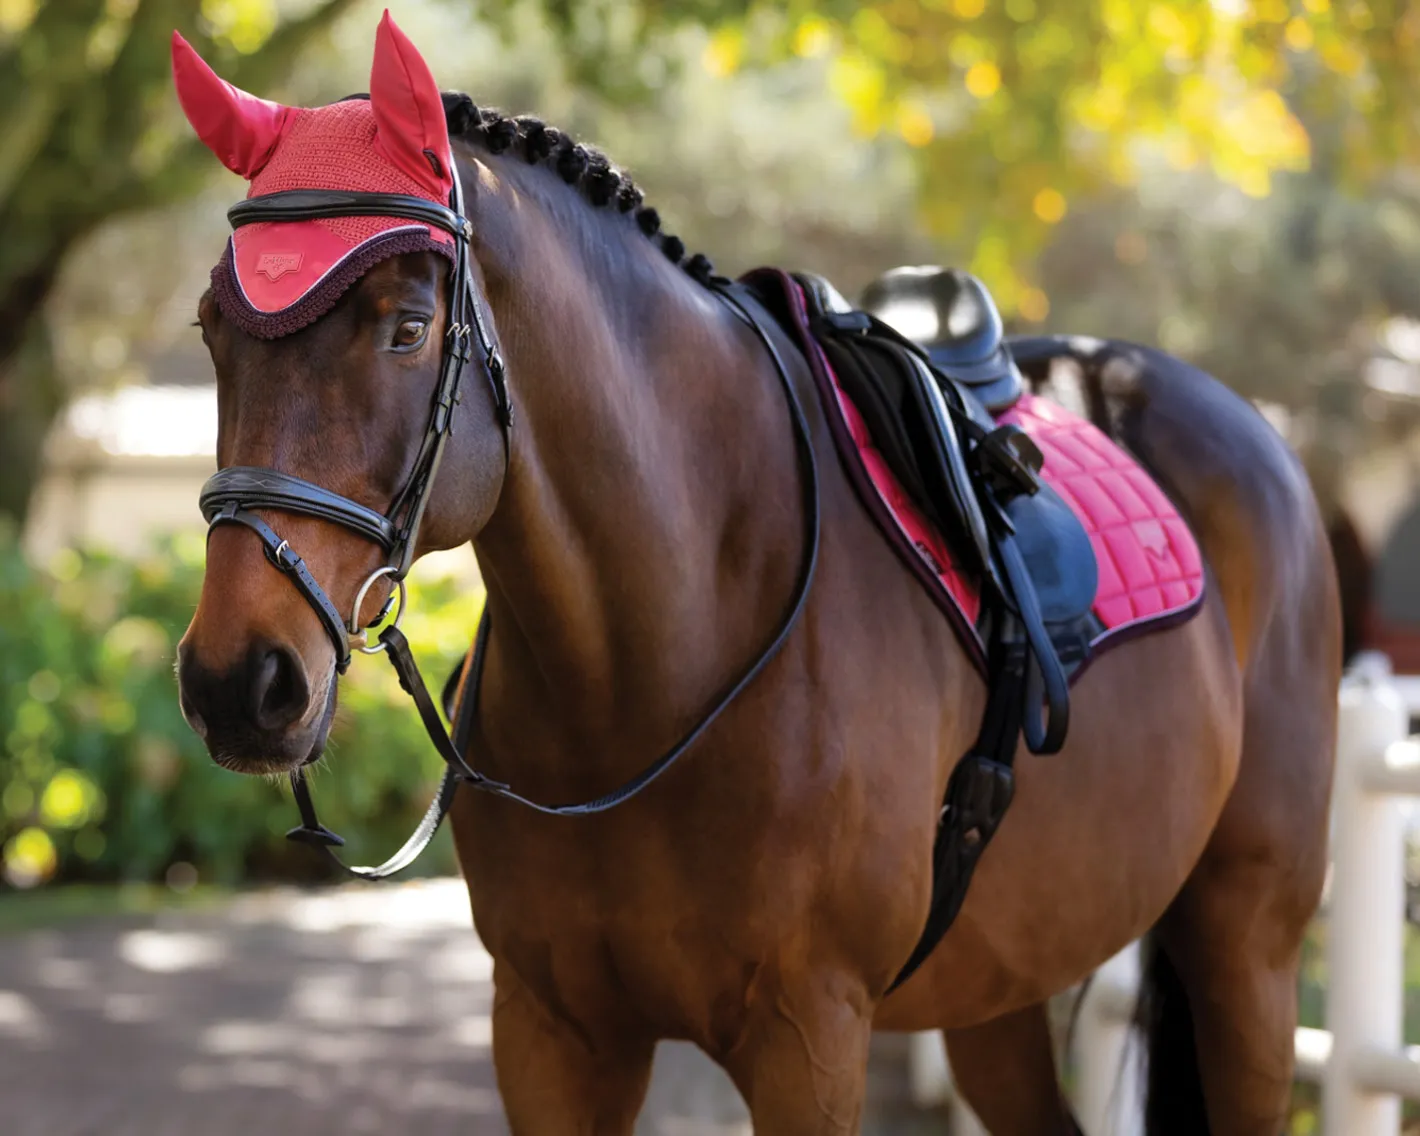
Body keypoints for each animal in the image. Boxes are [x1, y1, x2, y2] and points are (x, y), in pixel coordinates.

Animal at [172, 14, 1340, 1134]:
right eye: (212, 329)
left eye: (408, 329)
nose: (238, 680)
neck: (653, 669)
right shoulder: (551, 1033)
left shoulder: (808, 1038)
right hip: (1003, 981)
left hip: (1248, 947)